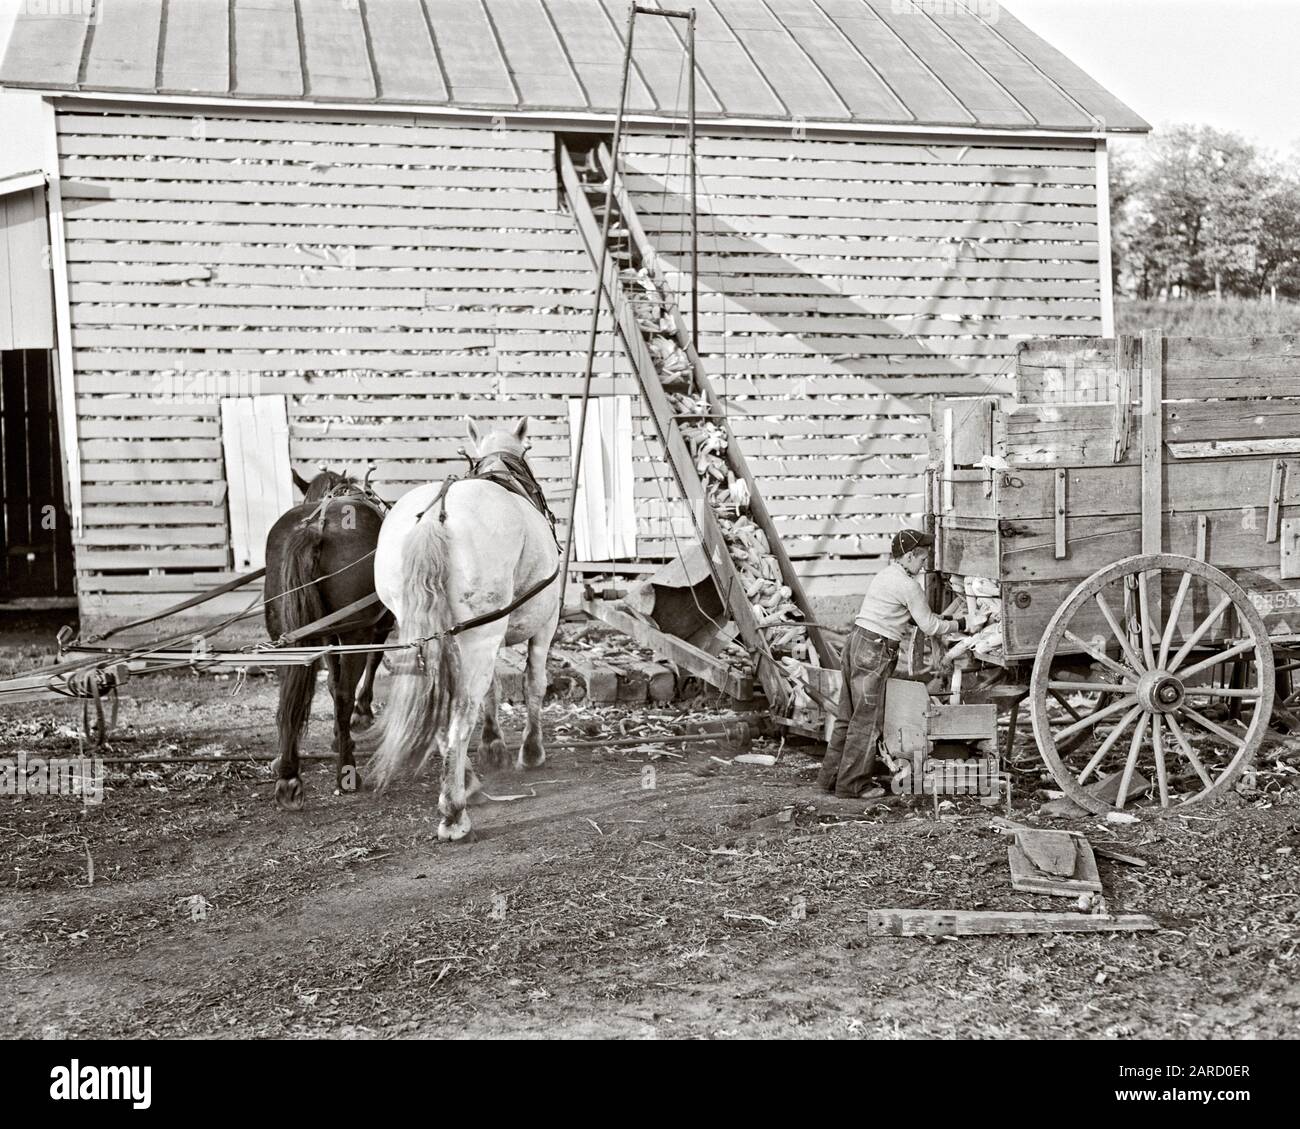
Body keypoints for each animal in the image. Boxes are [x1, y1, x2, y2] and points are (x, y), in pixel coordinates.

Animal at [263, 468, 394, 810]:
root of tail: (314, 529)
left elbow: (332, 688)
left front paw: (340, 733)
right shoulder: (378, 626)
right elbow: (367, 667)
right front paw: (359, 715)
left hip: (287, 637)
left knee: (292, 692)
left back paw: (288, 773)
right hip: (356, 631)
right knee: (346, 691)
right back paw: (346, 770)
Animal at [370, 417, 561, 842]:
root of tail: (436, 513)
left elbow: (494, 689)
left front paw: (493, 745)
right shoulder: (544, 623)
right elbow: (533, 683)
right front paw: (531, 751)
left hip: (427, 636)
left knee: (442, 711)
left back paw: (465, 784)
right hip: (479, 636)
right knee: (459, 718)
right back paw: (454, 810)